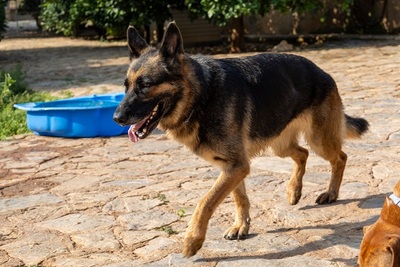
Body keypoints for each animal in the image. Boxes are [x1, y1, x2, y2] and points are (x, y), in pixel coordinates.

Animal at [112, 22, 368, 258]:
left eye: (145, 85)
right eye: (126, 87)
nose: (116, 118)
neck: (201, 96)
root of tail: (321, 71)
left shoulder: (236, 166)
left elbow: (205, 202)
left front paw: (193, 240)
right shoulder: (233, 166)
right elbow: (239, 197)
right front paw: (241, 226)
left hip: (318, 140)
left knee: (340, 157)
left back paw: (331, 193)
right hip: (280, 145)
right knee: (302, 154)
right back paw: (294, 191)